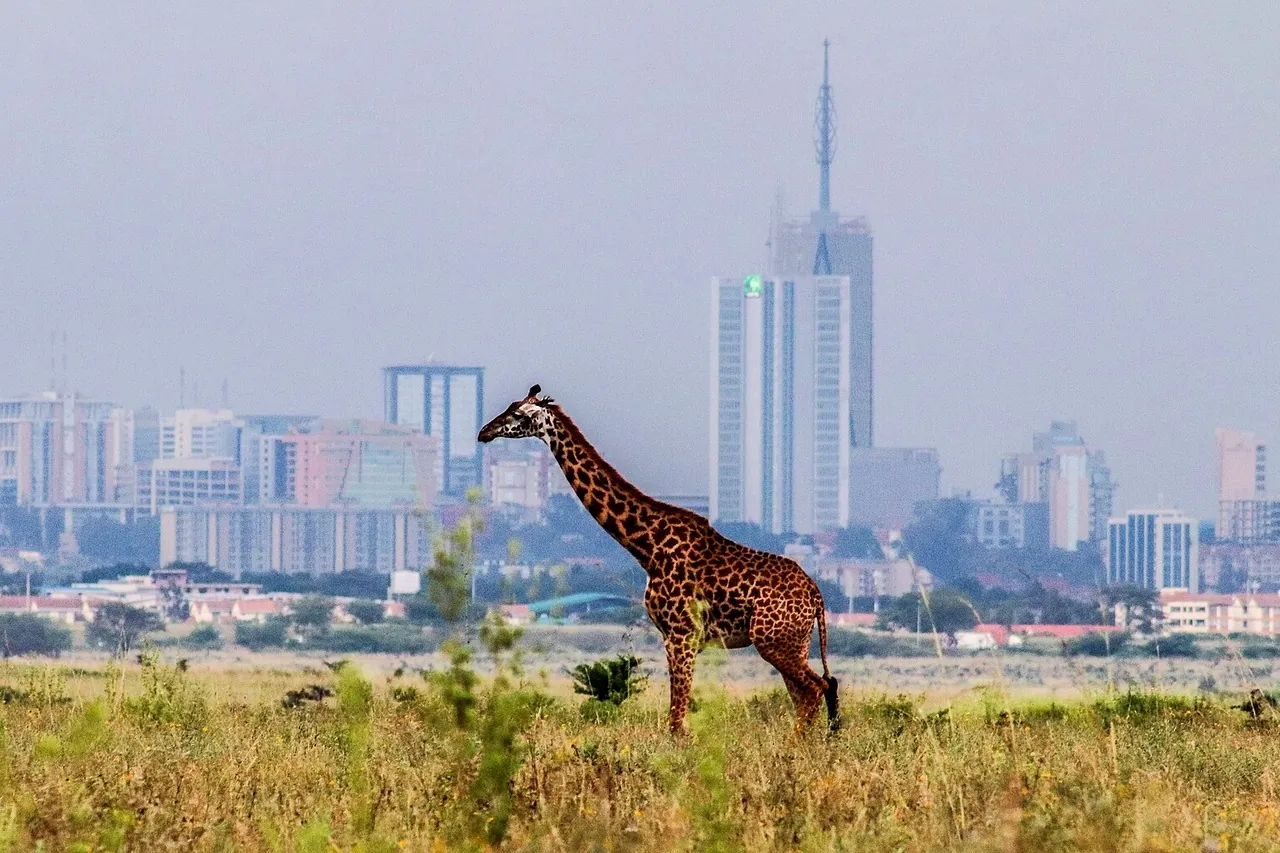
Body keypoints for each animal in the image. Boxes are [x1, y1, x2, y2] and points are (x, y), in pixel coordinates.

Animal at [478, 385, 839, 734]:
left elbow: (677, 722)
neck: (647, 547)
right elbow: (678, 719)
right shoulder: (673, 636)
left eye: (518, 413)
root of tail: (816, 596)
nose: (484, 432)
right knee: (812, 692)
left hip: (774, 641)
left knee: (816, 689)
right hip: (793, 643)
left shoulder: (681, 634)